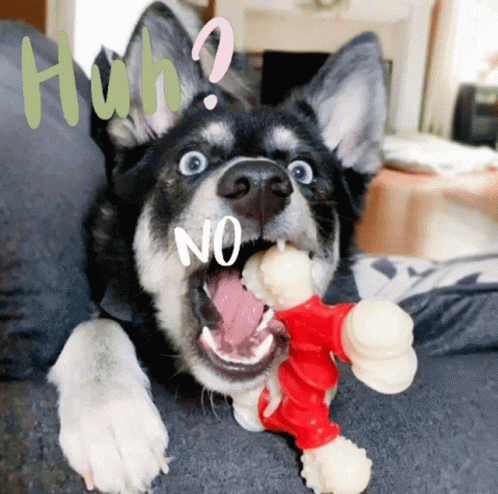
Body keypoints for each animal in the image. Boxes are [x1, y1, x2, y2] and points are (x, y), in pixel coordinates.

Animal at [48, 1, 387, 492]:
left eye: (302, 171)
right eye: (192, 162)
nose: (261, 186)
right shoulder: (110, 297)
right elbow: (98, 329)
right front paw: (111, 417)